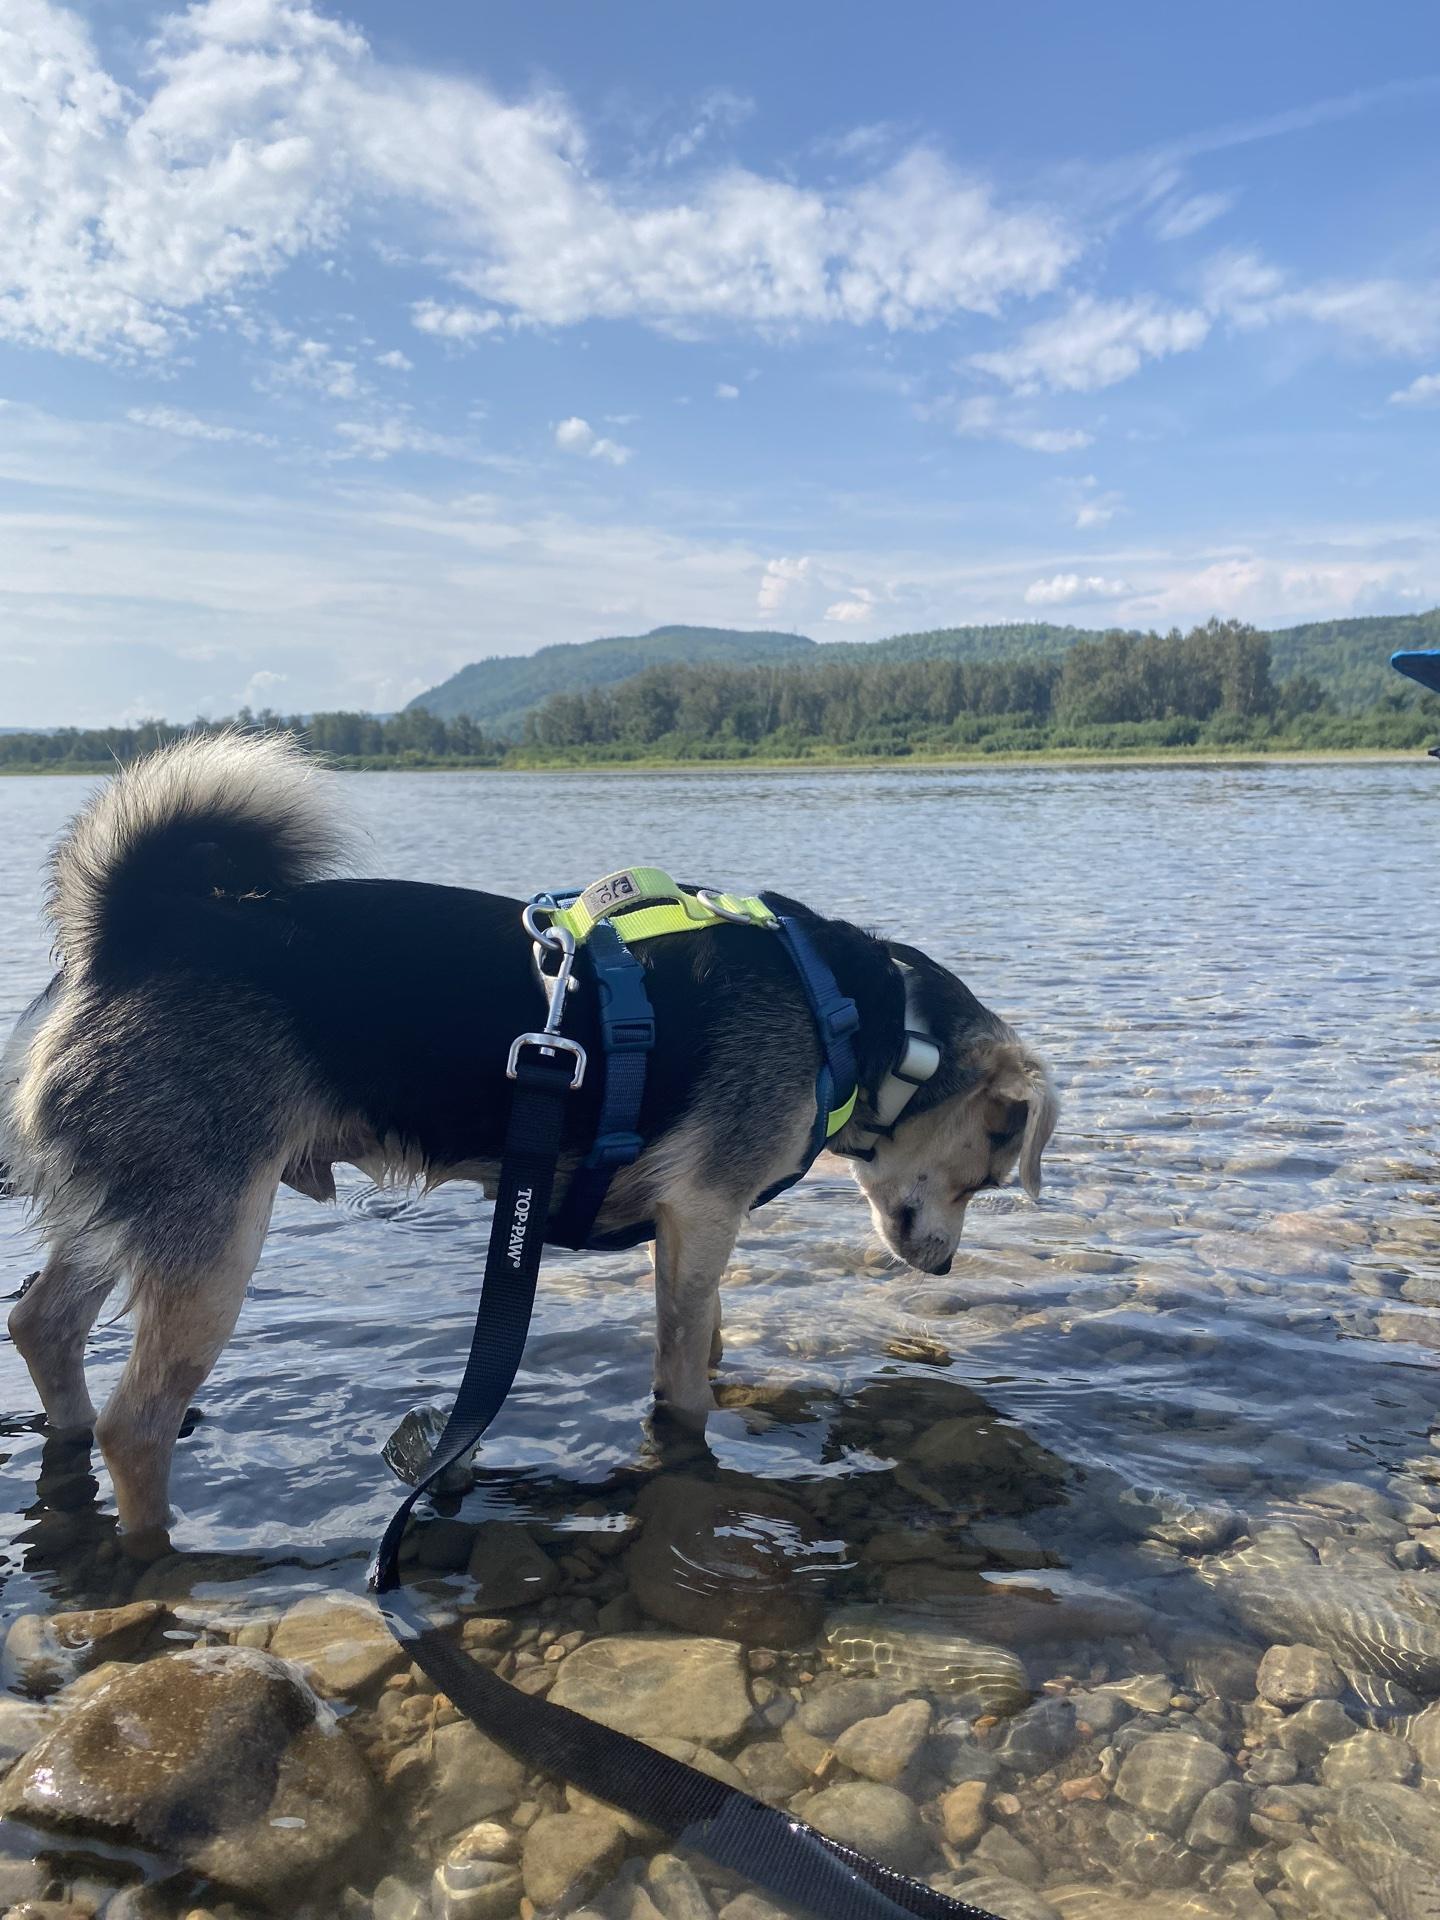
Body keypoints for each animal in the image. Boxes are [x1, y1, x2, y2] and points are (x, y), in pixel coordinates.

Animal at [0, 733, 1059, 1543]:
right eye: (991, 1162)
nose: (943, 1268)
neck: (864, 1015)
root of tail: (136, 933)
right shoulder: (705, 1211)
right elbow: (684, 1375)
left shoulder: (696, 1230)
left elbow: (711, 1334)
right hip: (212, 1235)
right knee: (136, 1424)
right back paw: (158, 1549)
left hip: (130, 1206)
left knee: (41, 1324)